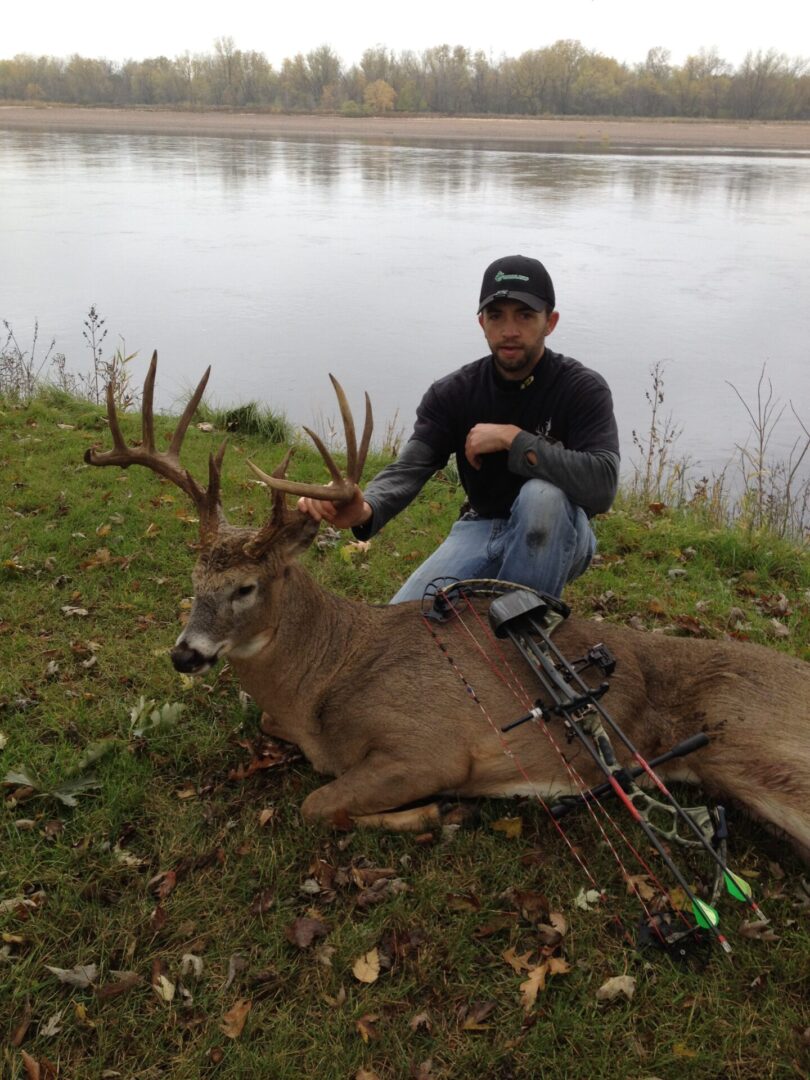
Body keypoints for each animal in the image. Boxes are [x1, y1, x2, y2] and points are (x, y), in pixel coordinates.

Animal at [84, 354, 810, 870]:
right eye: (194, 576)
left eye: (246, 587)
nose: (185, 652)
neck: (322, 680)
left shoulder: (428, 748)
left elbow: (319, 803)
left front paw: (441, 816)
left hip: (753, 745)